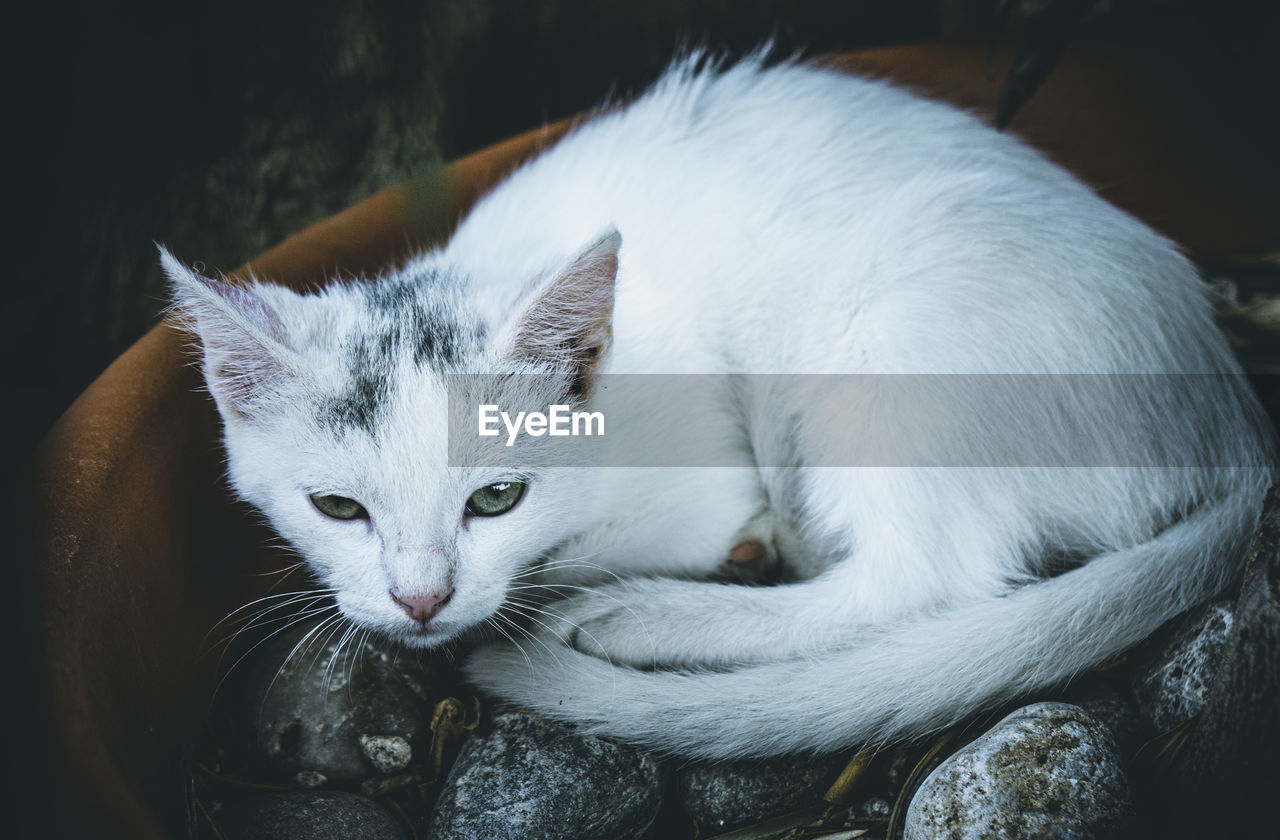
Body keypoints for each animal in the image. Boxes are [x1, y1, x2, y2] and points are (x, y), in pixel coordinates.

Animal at [165, 55, 1274, 758]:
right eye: (337, 509)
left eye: (496, 500)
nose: (421, 602)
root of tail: (1231, 414)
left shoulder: (699, 482)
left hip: (885, 340)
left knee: (922, 585)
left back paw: (650, 610)